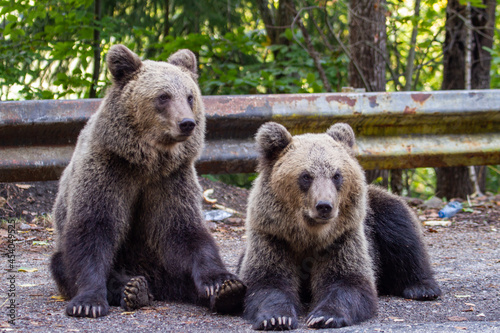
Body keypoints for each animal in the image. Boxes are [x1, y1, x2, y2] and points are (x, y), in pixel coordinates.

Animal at [49, 44, 245, 316]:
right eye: (163, 96)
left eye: (190, 96)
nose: (187, 123)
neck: (146, 162)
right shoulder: (108, 172)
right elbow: (92, 230)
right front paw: (88, 302)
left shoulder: (170, 180)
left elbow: (186, 231)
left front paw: (221, 282)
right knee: (61, 263)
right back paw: (134, 288)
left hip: (159, 260)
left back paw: (229, 295)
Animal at [238, 122, 442, 330]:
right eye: (306, 176)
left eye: (336, 175)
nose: (324, 206)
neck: (309, 235)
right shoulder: (273, 237)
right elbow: (267, 281)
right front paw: (276, 318)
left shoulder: (342, 238)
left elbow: (347, 281)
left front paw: (325, 316)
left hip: (377, 213)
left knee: (401, 232)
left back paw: (422, 287)